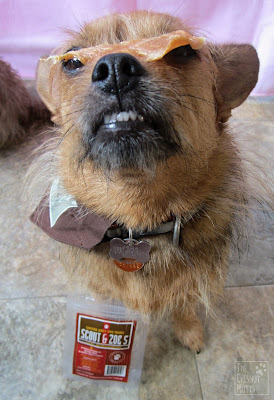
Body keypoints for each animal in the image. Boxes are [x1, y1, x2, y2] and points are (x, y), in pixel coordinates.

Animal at [0, 10, 262, 352]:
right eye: (71, 61)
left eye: (183, 50)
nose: (114, 68)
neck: (139, 222)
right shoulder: (100, 285)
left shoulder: (190, 281)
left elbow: (183, 302)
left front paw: (189, 329)